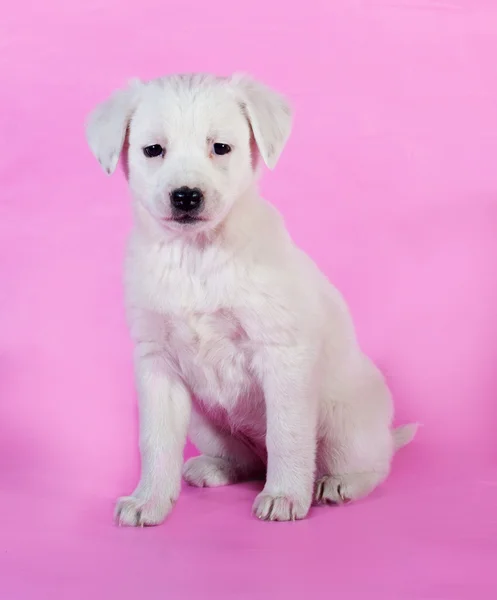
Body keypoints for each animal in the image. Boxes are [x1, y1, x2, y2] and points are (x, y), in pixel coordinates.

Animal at [84, 74, 414, 524]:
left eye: (221, 147)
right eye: (153, 150)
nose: (186, 196)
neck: (197, 255)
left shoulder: (281, 354)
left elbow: (287, 434)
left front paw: (285, 495)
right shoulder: (156, 363)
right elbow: (155, 441)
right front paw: (149, 499)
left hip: (346, 422)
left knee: (370, 465)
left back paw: (339, 484)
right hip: (204, 422)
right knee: (247, 461)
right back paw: (214, 467)